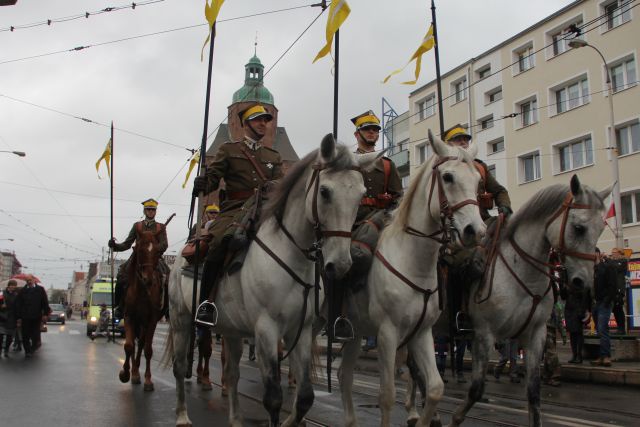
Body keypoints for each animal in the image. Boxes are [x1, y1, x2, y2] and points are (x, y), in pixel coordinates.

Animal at [119, 229, 165, 392]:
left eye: (157, 251)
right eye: (139, 250)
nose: (148, 279)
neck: (142, 290)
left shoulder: (152, 320)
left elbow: (148, 350)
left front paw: (148, 380)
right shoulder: (129, 317)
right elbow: (128, 346)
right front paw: (125, 374)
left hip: (144, 324)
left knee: (142, 343)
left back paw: (137, 372)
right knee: (134, 344)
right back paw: (133, 373)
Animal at [162, 135, 380, 427]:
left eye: (360, 194)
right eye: (324, 192)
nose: (342, 264)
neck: (291, 253)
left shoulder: (300, 331)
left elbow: (305, 397)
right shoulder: (266, 329)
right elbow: (274, 398)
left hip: (230, 329)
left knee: (232, 374)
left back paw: (236, 420)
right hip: (180, 318)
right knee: (179, 367)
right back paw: (183, 415)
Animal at [340, 130, 484, 427]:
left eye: (477, 180)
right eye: (448, 177)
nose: (476, 231)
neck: (412, 261)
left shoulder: (422, 333)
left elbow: (436, 388)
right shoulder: (387, 334)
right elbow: (386, 395)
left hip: (354, 332)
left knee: (344, 375)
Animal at [444, 175, 608, 427]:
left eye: (600, 229)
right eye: (579, 228)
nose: (584, 282)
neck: (523, 274)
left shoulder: (536, 334)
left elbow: (534, 392)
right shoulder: (483, 334)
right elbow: (476, 389)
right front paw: (453, 418)